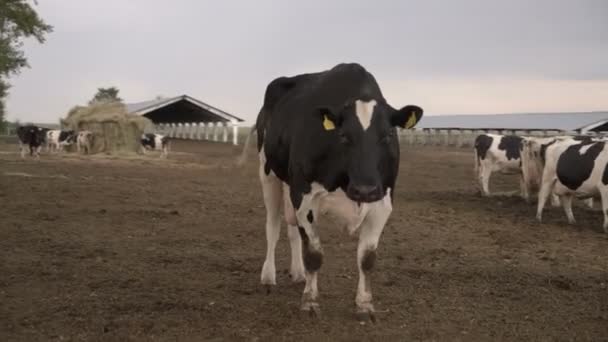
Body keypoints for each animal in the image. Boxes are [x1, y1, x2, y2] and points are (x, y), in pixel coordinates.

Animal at [239, 62, 422, 322]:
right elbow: (314, 255)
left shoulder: (383, 202)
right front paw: (310, 302)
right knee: (272, 227)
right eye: (344, 135)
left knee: (292, 231)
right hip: (268, 174)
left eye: (387, 135)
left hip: (289, 185)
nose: (365, 189)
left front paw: (365, 305)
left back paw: (298, 273)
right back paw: (268, 276)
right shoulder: (305, 198)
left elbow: (367, 259)